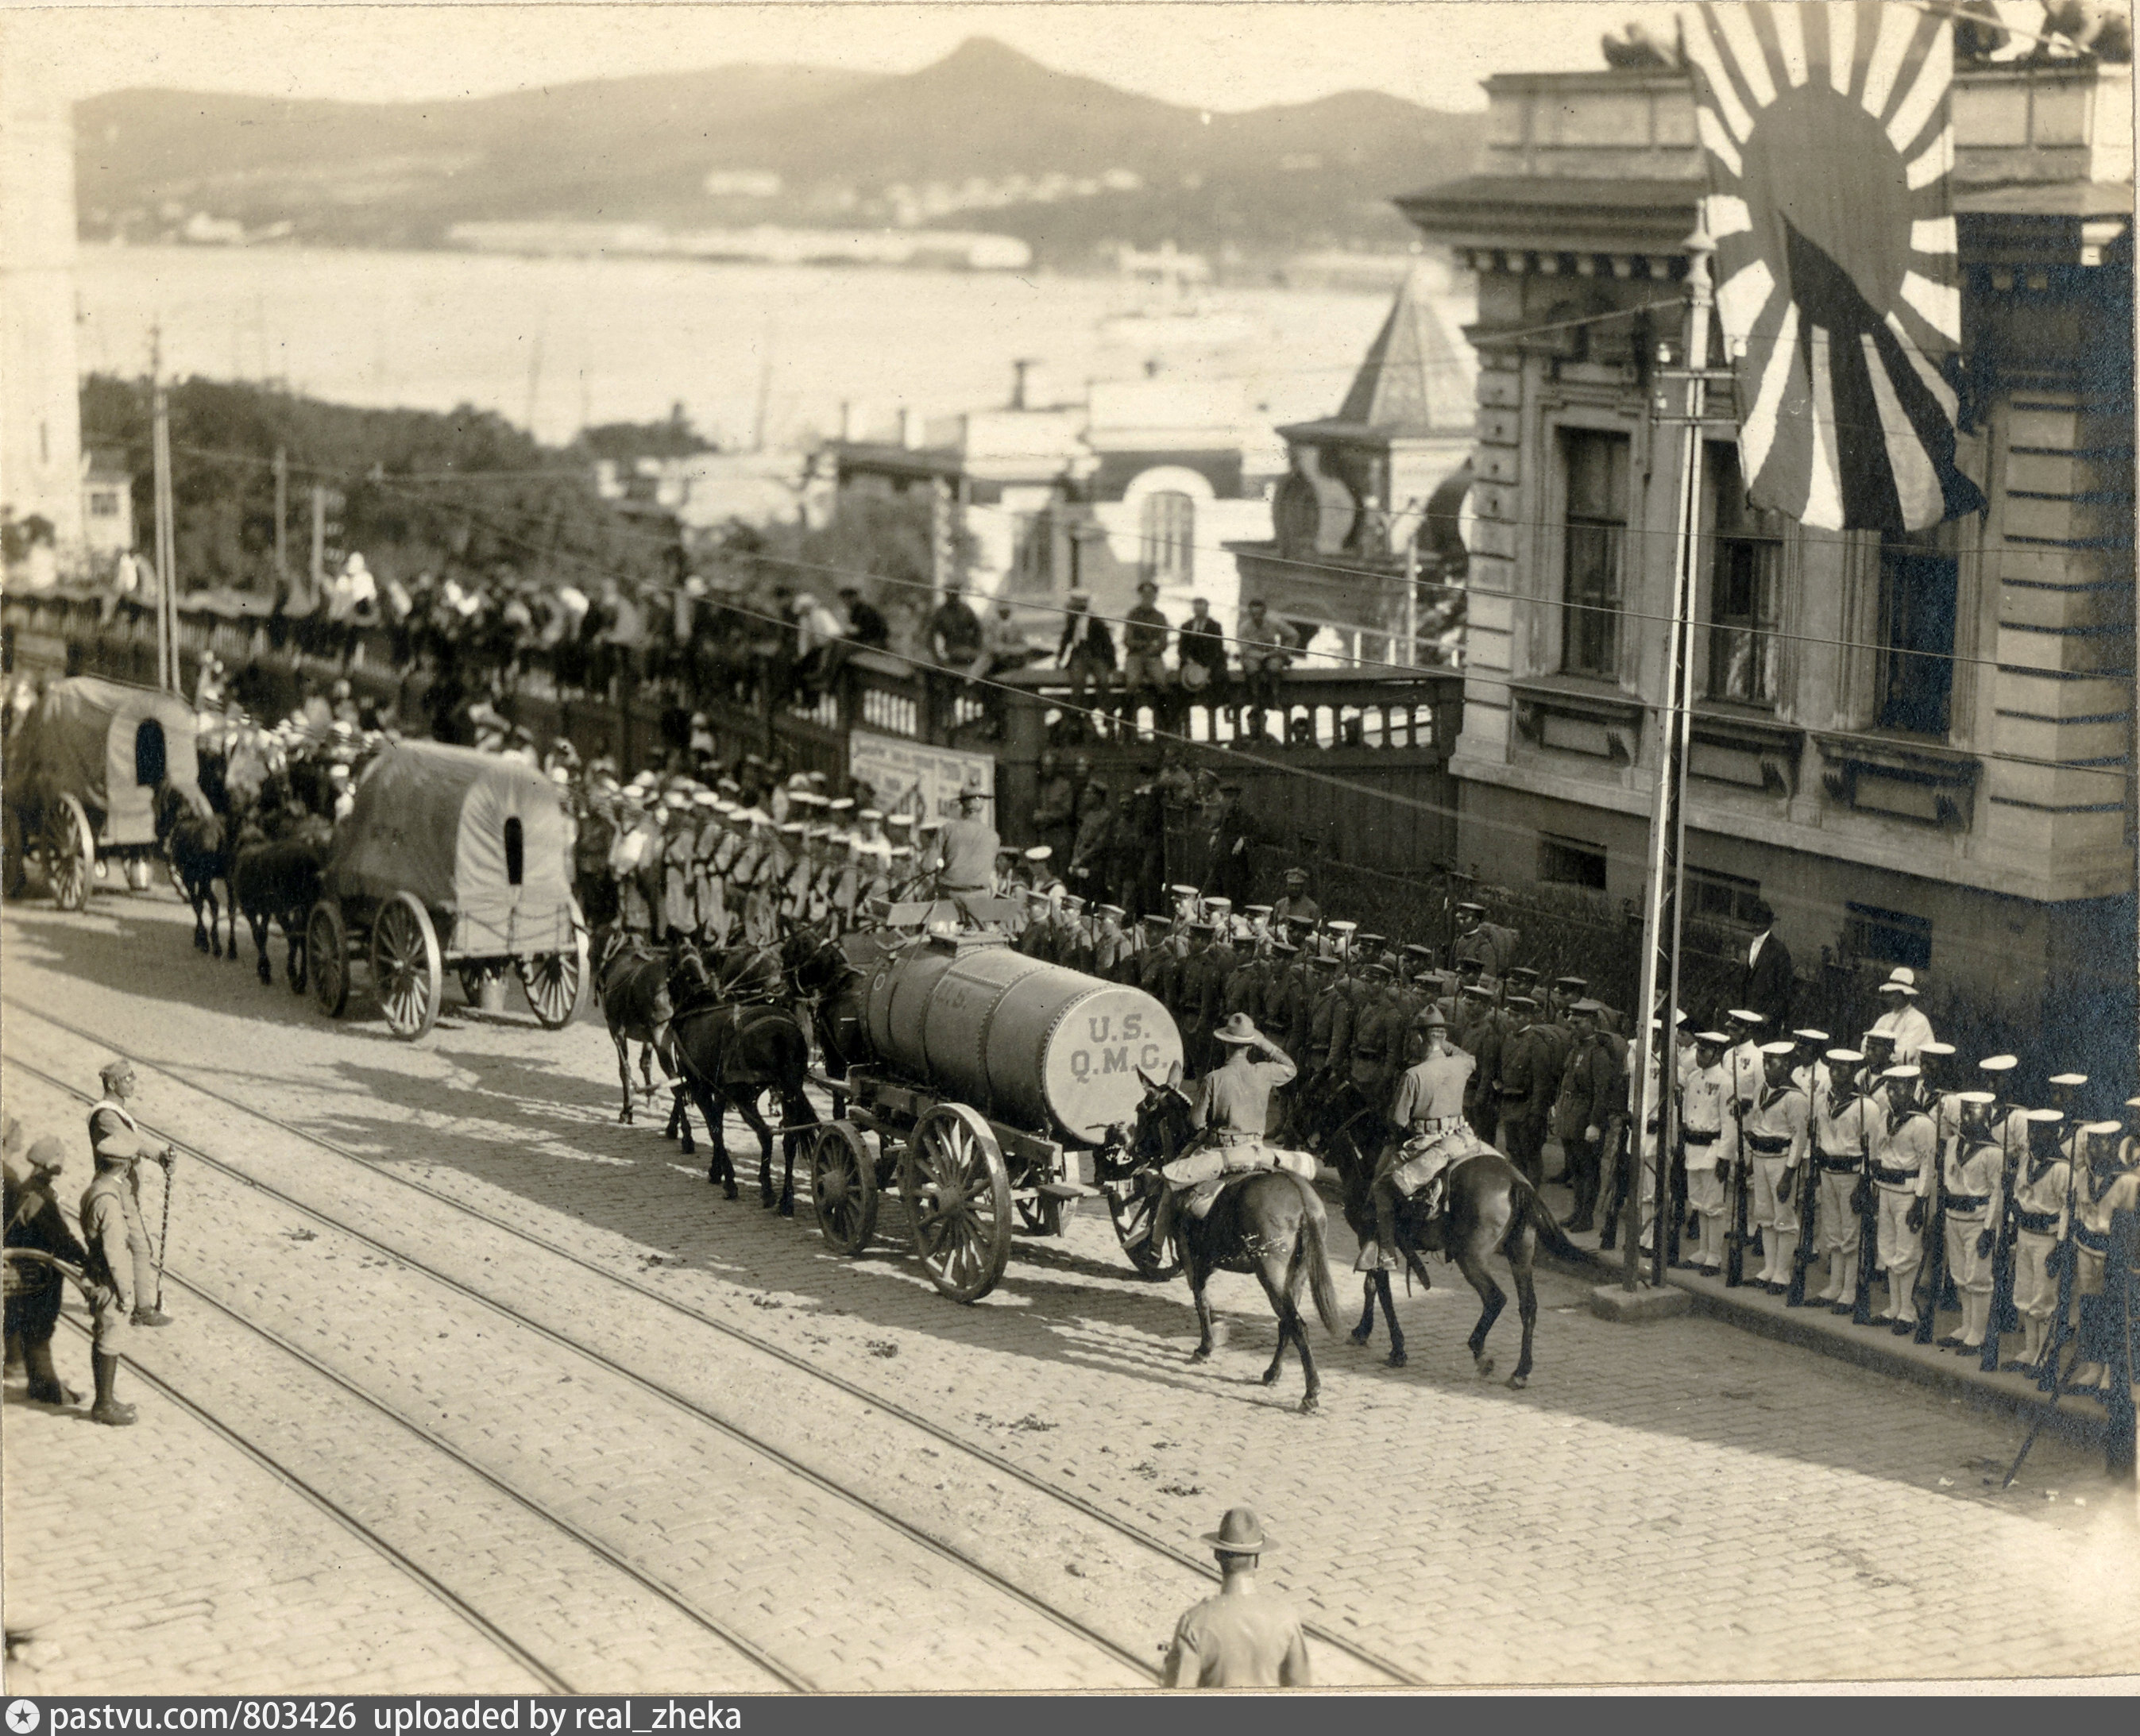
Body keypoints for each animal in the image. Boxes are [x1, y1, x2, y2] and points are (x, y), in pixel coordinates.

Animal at [1138, 1066, 1335, 1421]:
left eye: (1142, 1110)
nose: (1131, 1147)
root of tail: (1299, 1194)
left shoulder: (1191, 1259)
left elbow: (1201, 1301)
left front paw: (1205, 1348)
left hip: (1270, 1272)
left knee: (1296, 1324)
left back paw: (1311, 1393)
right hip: (1295, 1275)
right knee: (1286, 1323)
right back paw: (1272, 1374)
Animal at [1318, 1104, 1592, 1395]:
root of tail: (1516, 1182)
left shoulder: (1370, 1239)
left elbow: (1381, 1290)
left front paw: (1396, 1349)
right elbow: (1371, 1286)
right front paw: (1363, 1331)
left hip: (1470, 1257)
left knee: (1496, 1298)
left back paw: (1480, 1352)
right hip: (1521, 1252)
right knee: (1528, 1305)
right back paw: (1521, 1371)